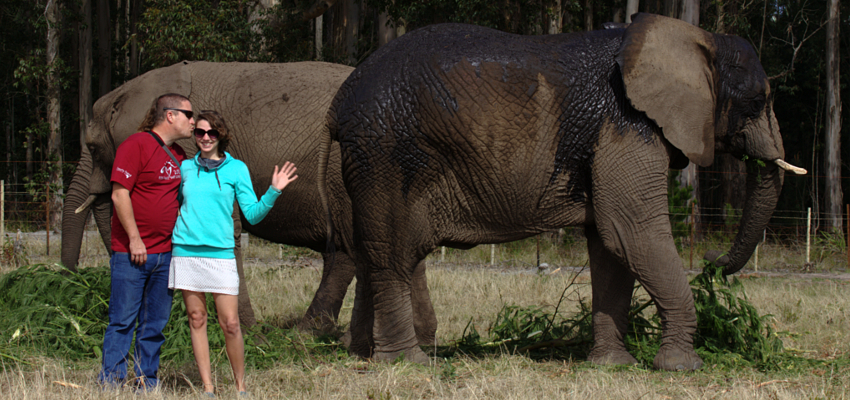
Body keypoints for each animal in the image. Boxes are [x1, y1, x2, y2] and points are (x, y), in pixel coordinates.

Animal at [63, 61, 372, 332]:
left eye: (92, 148)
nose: (70, 279)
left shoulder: (189, 145)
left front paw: (248, 334)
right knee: (344, 253)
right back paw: (308, 335)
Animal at [322, 14, 804, 372]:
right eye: (758, 102)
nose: (711, 260)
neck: (694, 37)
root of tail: (339, 102)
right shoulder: (627, 126)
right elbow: (632, 231)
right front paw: (682, 367)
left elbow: (610, 246)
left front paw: (613, 366)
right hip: (387, 150)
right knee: (393, 255)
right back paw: (409, 363)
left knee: (376, 253)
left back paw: (363, 354)